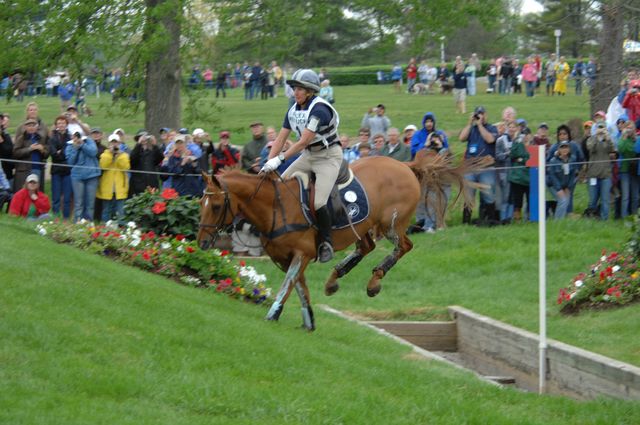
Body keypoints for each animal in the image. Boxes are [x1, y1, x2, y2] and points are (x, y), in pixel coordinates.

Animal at [198, 154, 488, 330]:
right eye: (201, 203)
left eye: (216, 206)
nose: (201, 242)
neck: (274, 207)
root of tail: (406, 166)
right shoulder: (286, 258)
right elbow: (300, 288)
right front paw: (308, 321)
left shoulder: (301, 254)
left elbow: (288, 286)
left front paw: (273, 314)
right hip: (364, 226)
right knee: (366, 247)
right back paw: (334, 278)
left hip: (390, 224)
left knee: (403, 246)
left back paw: (374, 281)